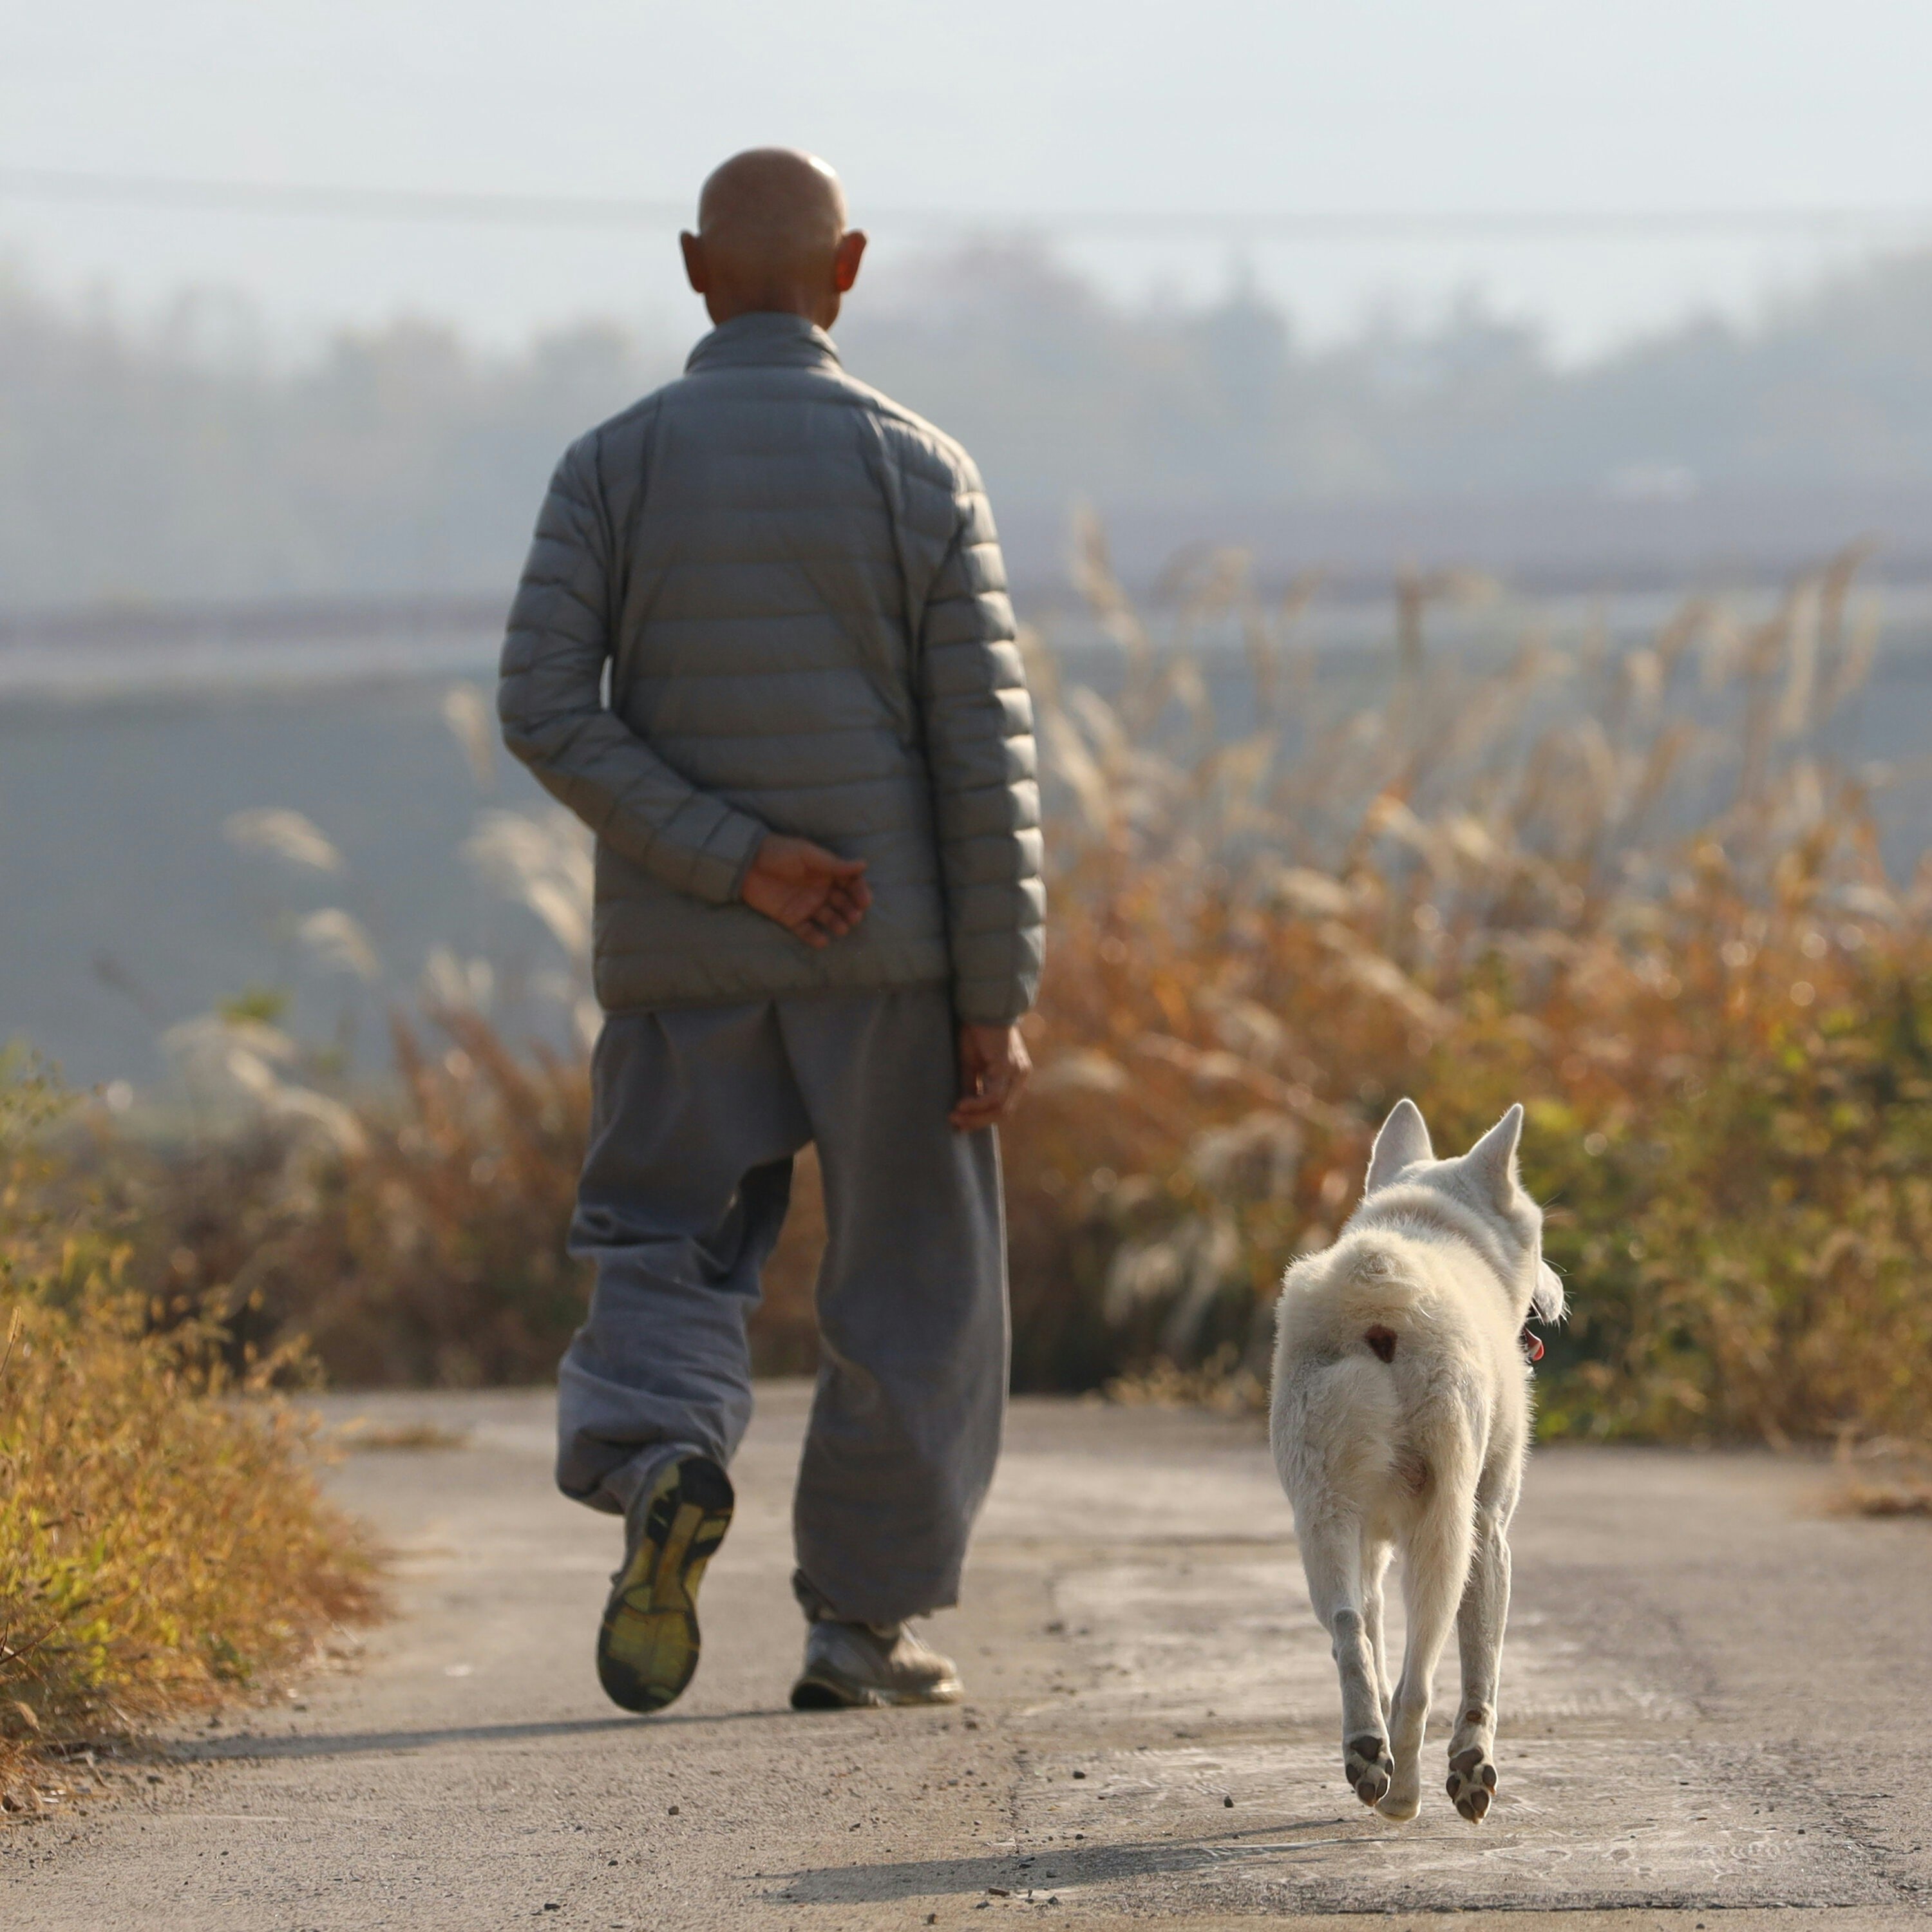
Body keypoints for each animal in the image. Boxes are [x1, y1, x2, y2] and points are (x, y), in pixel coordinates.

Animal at [1267, 1105, 1569, 1824]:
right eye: (1541, 1236)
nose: (1558, 1289)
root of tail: (1380, 1308)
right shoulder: (1492, 1531)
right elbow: (1481, 1671)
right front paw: (1471, 1765)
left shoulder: (1371, 1546)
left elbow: (1372, 1639)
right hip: (1447, 1531)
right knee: (1419, 1682)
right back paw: (1407, 1793)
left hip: (1321, 1522)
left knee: (1349, 1636)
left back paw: (1366, 1754)